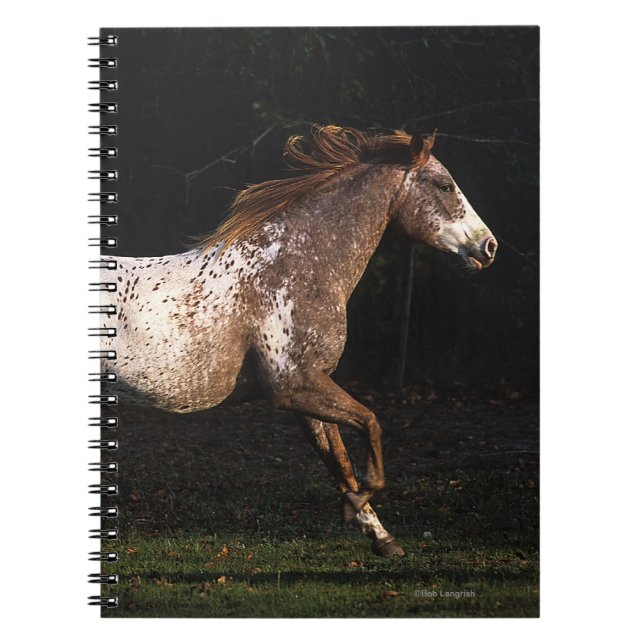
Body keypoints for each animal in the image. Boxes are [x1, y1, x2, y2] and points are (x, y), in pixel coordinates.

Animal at [100, 125, 497, 557]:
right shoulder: (293, 385)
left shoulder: (311, 390)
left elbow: (340, 461)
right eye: (445, 185)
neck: (296, 265)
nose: (489, 247)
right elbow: (371, 424)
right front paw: (356, 507)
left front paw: (379, 535)